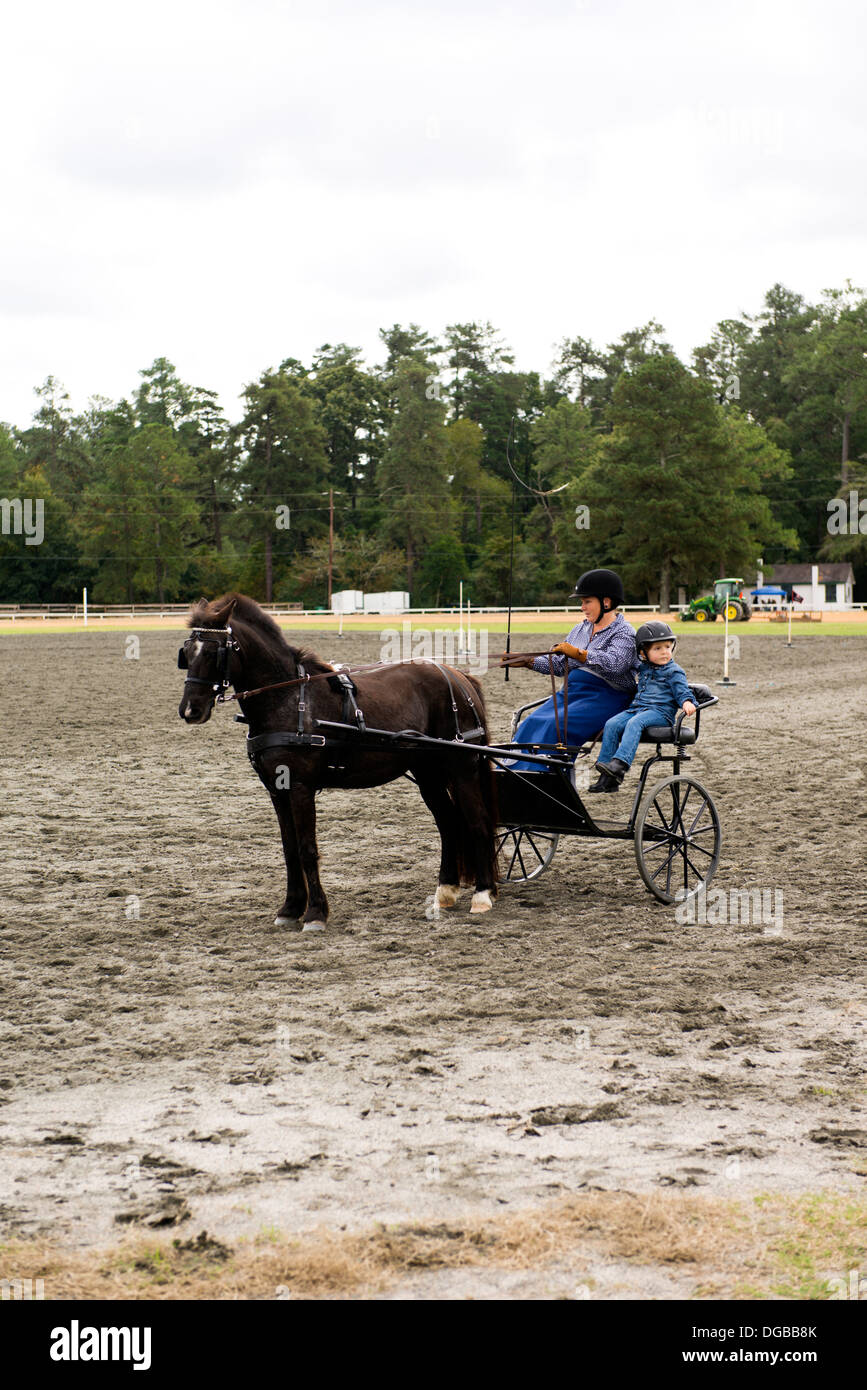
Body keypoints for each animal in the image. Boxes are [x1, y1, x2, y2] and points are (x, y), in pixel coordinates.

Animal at [177, 593, 499, 931]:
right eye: (187, 652)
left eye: (214, 652)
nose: (190, 710)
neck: (289, 700)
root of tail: (459, 677)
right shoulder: (277, 789)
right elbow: (289, 849)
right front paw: (290, 908)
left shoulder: (300, 787)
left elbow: (306, 849)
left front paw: (315, 913)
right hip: (428, 774)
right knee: (448, 823)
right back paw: (445, 891)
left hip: (462, 769)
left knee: (477, 822)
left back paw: (482, 894)